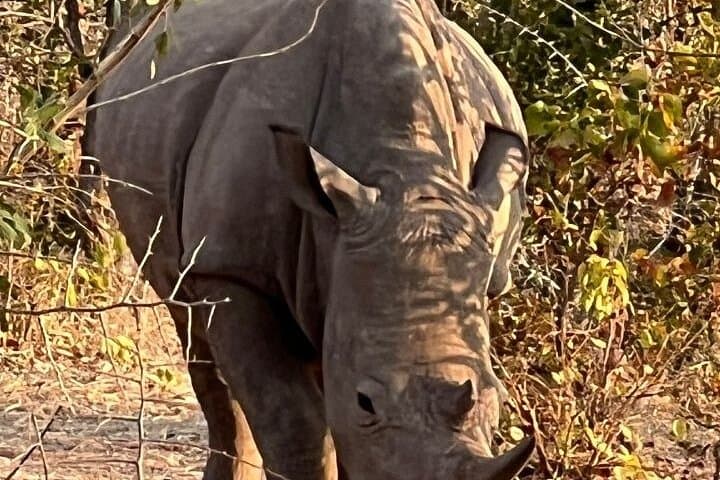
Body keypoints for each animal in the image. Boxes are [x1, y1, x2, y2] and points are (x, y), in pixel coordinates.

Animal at [82, 0, 534, 478]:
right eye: (365, 402)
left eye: (498, 398)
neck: (406, 171)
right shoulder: (231, 269)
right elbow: (294, 425)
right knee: (194, 329)